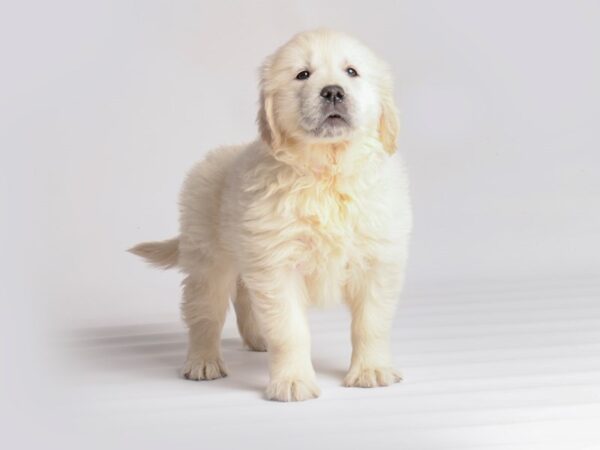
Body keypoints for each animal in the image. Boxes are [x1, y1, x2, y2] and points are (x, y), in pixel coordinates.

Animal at [130, 29, 412, 400]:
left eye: (352, 72)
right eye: (303, 75)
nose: (333, 91)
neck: (326, 173)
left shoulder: (376, 260)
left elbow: (371, 323)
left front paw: (372, 371)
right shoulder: (279, 265)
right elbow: (289, 330)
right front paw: (292, 382)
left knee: (245, 297)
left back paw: (256, 339)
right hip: (207, 257)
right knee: (204, 312)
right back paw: (203, 362)